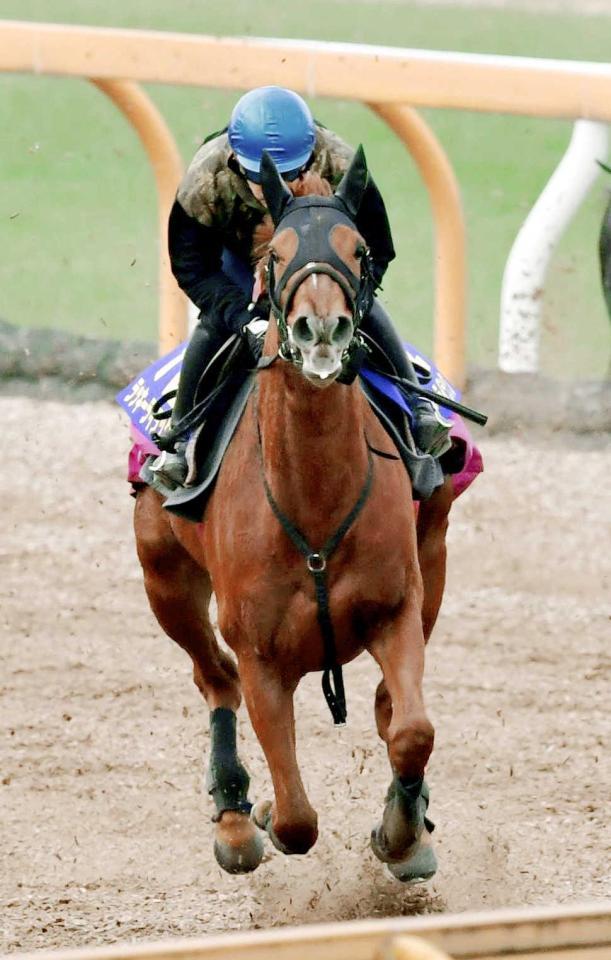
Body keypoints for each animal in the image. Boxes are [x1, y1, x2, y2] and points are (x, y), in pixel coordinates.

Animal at [135, 146, 460, 880]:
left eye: (357, 248)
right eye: (277, 254)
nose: (320, 328)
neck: (313, 505)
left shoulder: (395, 607)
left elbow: (411, 730)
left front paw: (402, 834)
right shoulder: (259, 652)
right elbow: (295, 820)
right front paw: (259, 813)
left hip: (434, 553)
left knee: (386, 709)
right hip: (164, 580)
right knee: (214, 679)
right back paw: (234, 816)